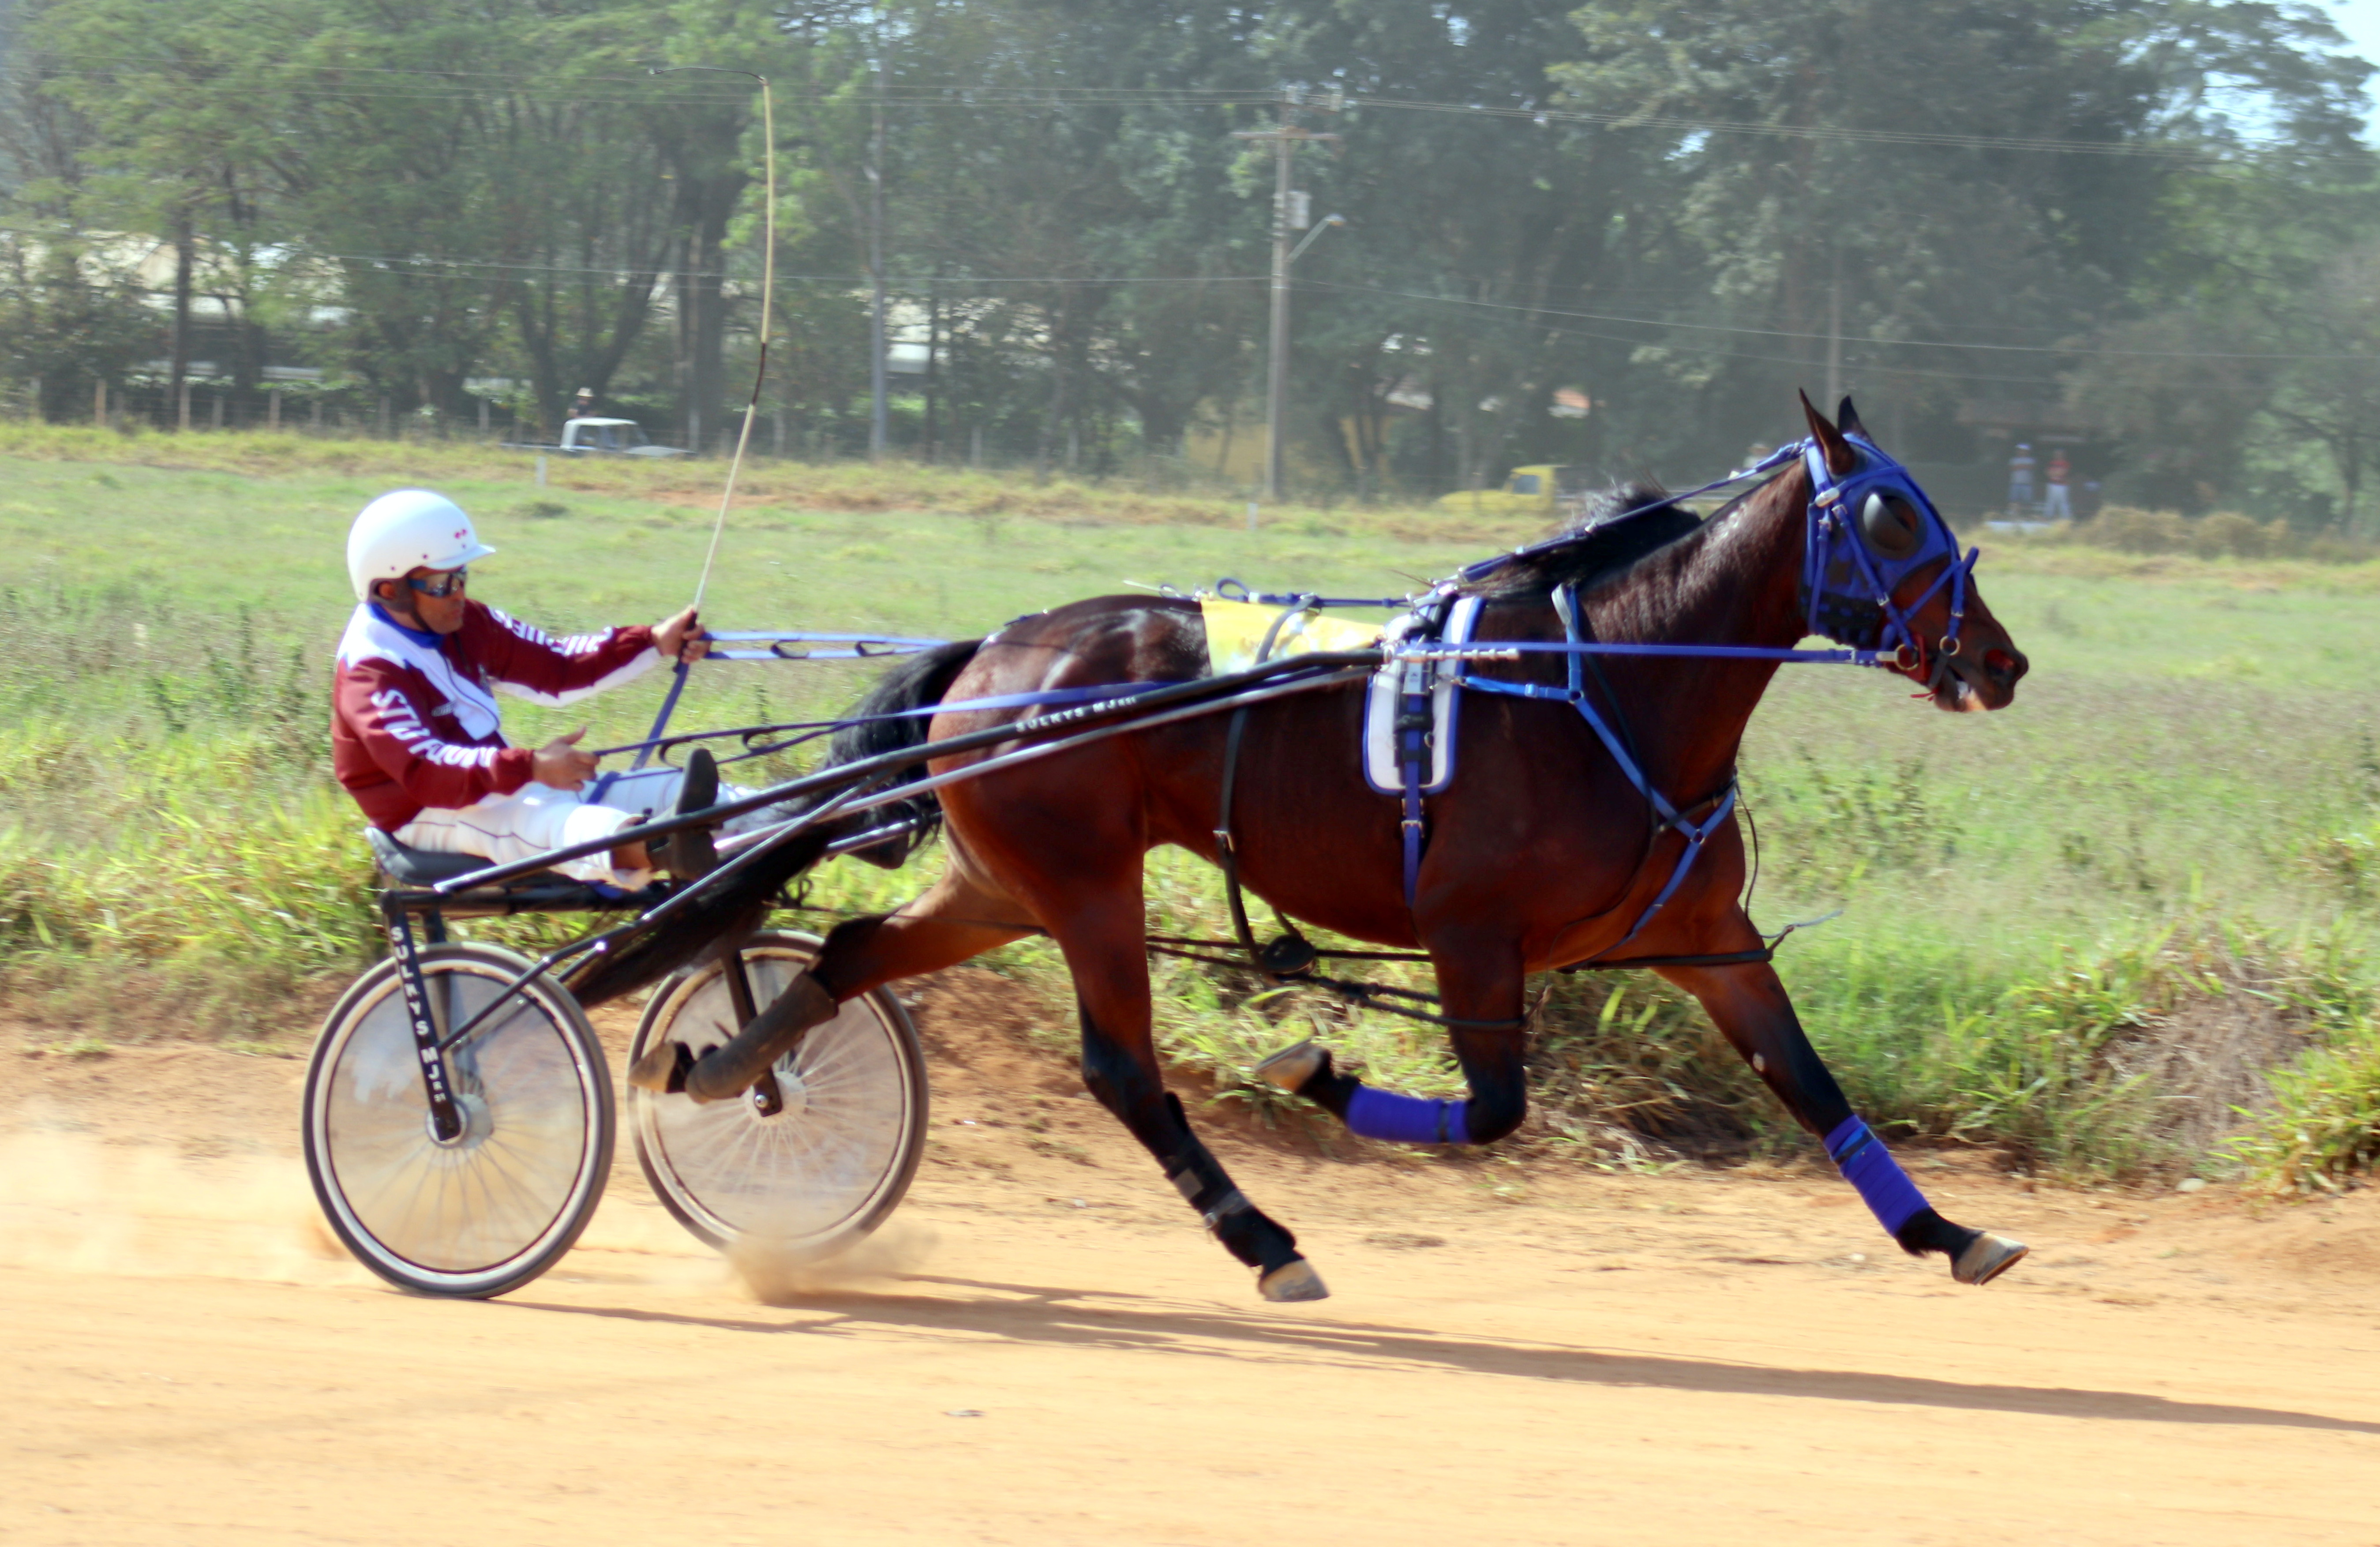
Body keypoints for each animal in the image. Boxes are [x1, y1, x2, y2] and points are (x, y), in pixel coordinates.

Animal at [628, 395, 2033, 1302]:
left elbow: (1811, 1084)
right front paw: (1316, 1071)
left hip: (1004, 880)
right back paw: (1264, 1240)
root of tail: (995, 651)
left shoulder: (1706, 939)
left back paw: (734, 1064)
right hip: (1084, 883)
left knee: (854, 948)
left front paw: (1948, 1231)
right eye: (1890, 517)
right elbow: (1494, 1110)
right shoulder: (1470, 935)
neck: (1610, 684)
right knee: (1120, 1069)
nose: (1998, 660)